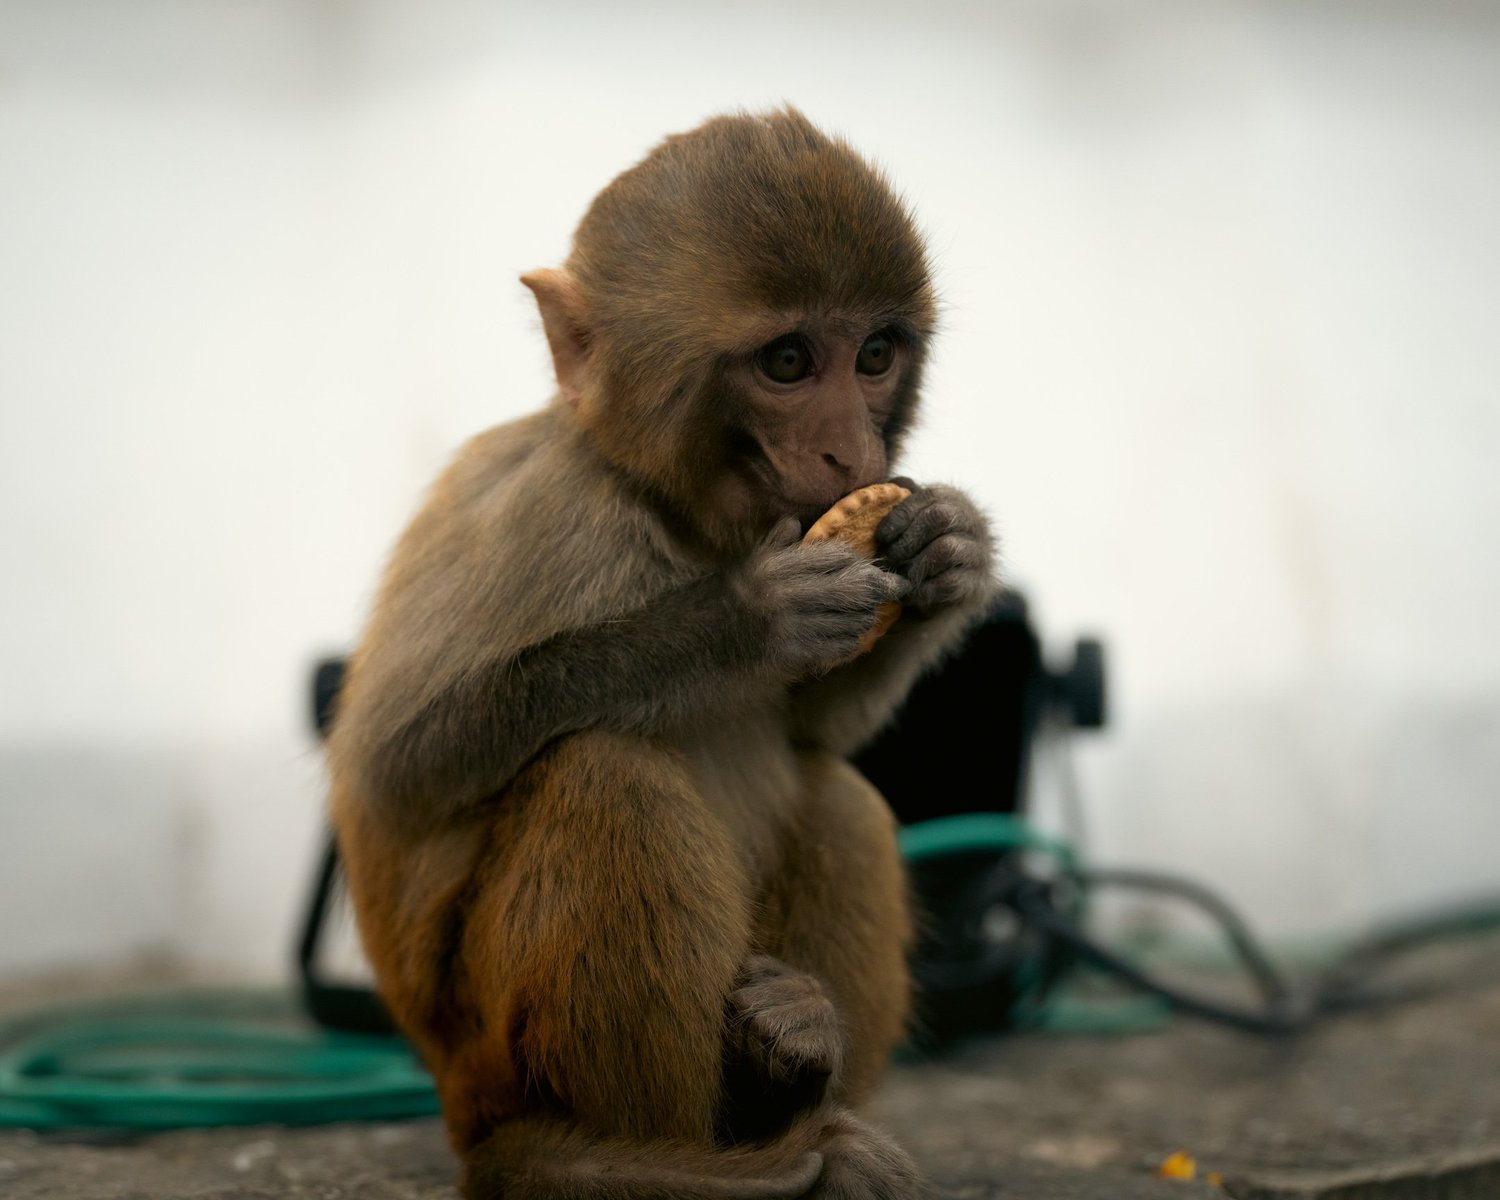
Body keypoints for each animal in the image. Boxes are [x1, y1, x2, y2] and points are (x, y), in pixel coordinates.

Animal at [326, 109, 997, 1199]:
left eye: (876, 353)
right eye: (787, 363)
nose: (854, 455)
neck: (676, 518)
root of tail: (461, 1106)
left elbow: (816, 724)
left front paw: (951, 551)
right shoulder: (548, 512)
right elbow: (398, 768)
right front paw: (736, 622)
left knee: (841, 797)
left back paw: (793, 1072)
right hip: (491, 1056)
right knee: (605, 777)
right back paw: (624, 1158)